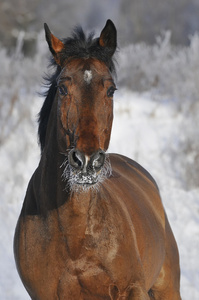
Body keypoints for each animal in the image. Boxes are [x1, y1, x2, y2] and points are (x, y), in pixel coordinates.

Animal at [14, 19, 182, 298]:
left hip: (166, 286)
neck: (76, 237)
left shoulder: (132, 289)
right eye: (63, 88)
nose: (86, 161)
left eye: (111, 90)